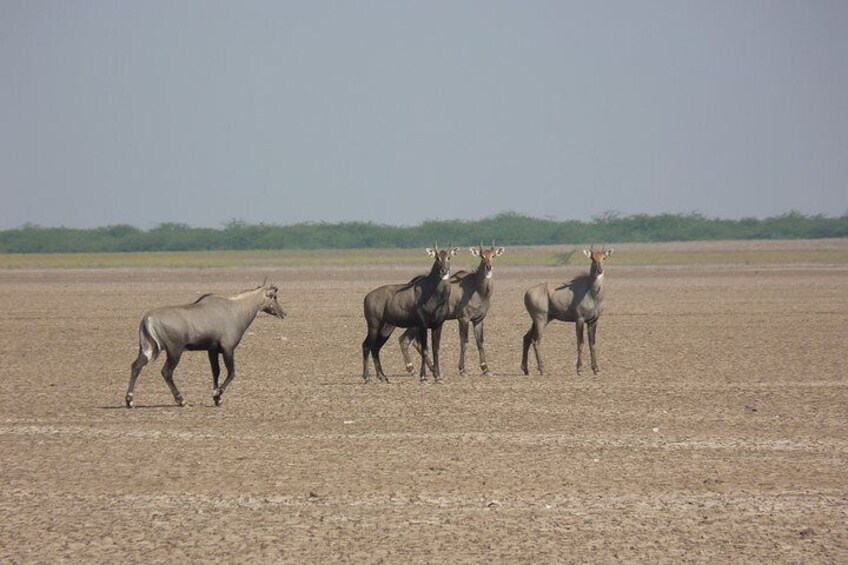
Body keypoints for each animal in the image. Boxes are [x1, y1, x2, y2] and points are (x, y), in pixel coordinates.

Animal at [124, 280, 286, 406]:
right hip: (174, 351)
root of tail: (148, 319)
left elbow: (216, 372)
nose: (283, 313)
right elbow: (231, 373)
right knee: (166, 372)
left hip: (147, 348)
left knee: (136, 366)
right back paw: (181, 400)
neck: (235, 309)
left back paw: (129, 400)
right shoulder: (227, 349)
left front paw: (217, 399)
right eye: (274, 296)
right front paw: (217, 394)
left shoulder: (212, 350)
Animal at [362, 245, 460, 382]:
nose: (444, 271)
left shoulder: (438, 325)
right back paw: (367, 378)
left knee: (375, 348)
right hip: (374, 325)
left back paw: (383, 377)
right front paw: (423, 377)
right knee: (366, 345)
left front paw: (438, 377)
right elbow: (425, 349)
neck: (434, 294)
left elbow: (436, 350)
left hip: (386, 327)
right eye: (437, 257)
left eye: (449, 257)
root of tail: (367, 297)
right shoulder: (423, 324)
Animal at [398, 245, 504, 376]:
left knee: (414, 342)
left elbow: (480, 342)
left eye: (493, 256)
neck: (478, 289)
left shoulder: (478, 319)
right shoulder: (463, 318)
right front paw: (462, 369)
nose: (488, 267)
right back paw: (412, 368)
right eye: (482, 256)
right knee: (404, 339)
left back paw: (430, 368)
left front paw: (486, 369)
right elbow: (464, 342)